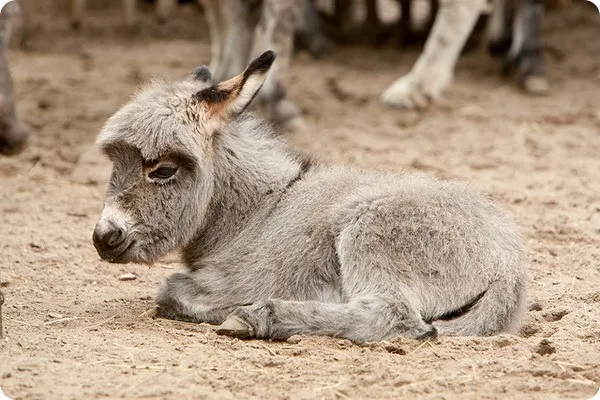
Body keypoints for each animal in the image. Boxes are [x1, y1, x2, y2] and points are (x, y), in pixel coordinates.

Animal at [92, 50, 524, 344]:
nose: (103, 237)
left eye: (163, 170)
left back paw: (257, 317)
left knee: (393, 316)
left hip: (371, 235)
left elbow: (171, 291)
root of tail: (510, 266)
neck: (258, 212)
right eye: (115, 163)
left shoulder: (247, 275)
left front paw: (225, 307)